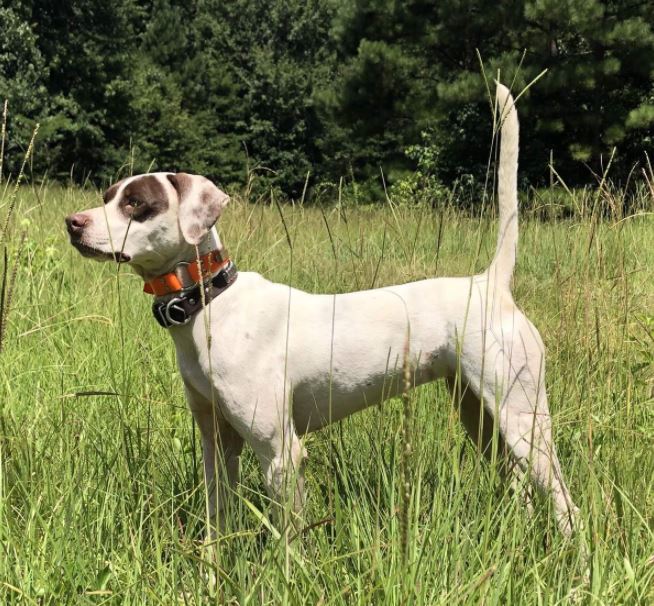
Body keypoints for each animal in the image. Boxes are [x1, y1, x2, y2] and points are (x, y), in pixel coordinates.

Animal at [65, 84, 580, 536]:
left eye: (136, 204)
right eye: (107, 195)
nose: (72, 222)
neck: (211, 305)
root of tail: (490, 284)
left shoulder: (280, 452)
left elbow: (289, 541)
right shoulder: (217, 446)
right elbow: (216, 529)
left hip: (523, 418)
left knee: (565, 505)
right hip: (481, 417)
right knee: (520, 488)